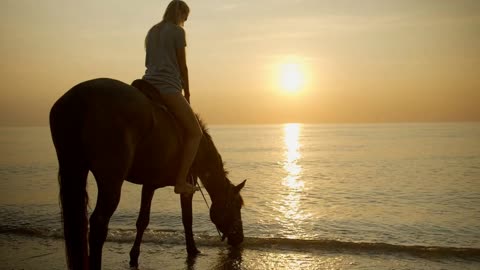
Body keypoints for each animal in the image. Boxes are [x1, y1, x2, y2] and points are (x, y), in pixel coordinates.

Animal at [48, 78, 246, 270]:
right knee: (99, 224)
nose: (240, 238)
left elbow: (142, 220)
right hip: (111, 181)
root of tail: (80, 98)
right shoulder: (186, 187)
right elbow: (186, 219)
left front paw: (134, 256)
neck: (199, 151)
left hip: (74, 167)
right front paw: (193, 250)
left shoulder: (149, 184)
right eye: (237, 206)